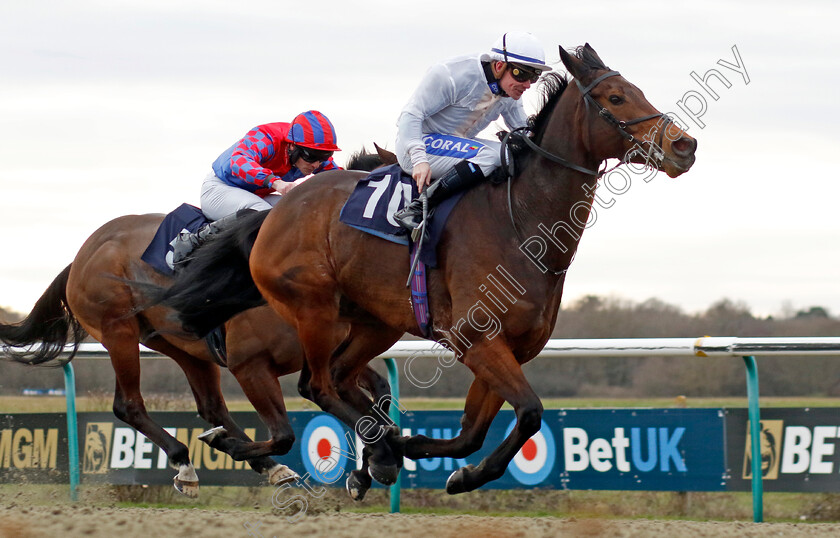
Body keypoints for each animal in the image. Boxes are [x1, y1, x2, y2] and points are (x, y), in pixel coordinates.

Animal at [0, 149, 392, 496]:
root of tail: (82, 254)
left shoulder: (325, 350)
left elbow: (378, 392)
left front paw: (373, 463)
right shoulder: (251, 365)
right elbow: (285, 433)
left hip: (180, 343)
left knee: (211, 407)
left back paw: (255, 461)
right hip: (118, 332)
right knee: (129, 405)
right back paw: (187, 461)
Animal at [141, 44, 700, 492]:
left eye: (638, 91)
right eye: (615, 99)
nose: (684, 145)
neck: (520, 223)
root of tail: (275, 210)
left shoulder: (508, 347)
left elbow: (477, 431)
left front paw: (448, 466)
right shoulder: (477, 339)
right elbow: (529, 413)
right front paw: (414, 455)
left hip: (374, 322)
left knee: (340, 379)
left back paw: (361, 451)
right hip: (312, 308)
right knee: (316, 386)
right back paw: (355, 451)